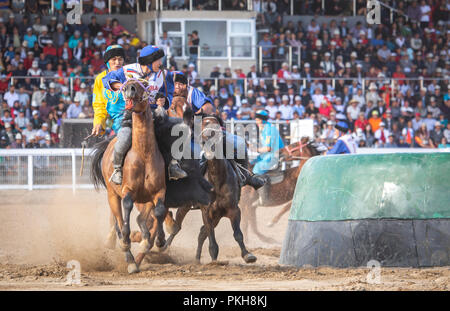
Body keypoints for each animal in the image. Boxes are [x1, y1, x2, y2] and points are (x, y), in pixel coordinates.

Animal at [91, 79, 167, 274]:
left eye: (143, 84)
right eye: (124, 84)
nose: (129, 89)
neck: (143, 154)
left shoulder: (158, 191)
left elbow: (160, 212)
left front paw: (160, 240)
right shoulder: (128, 191)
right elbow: (126, 212)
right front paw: (128, 244)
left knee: (142, 219)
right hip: (112, 195)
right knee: (118, 222)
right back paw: (130, 259)